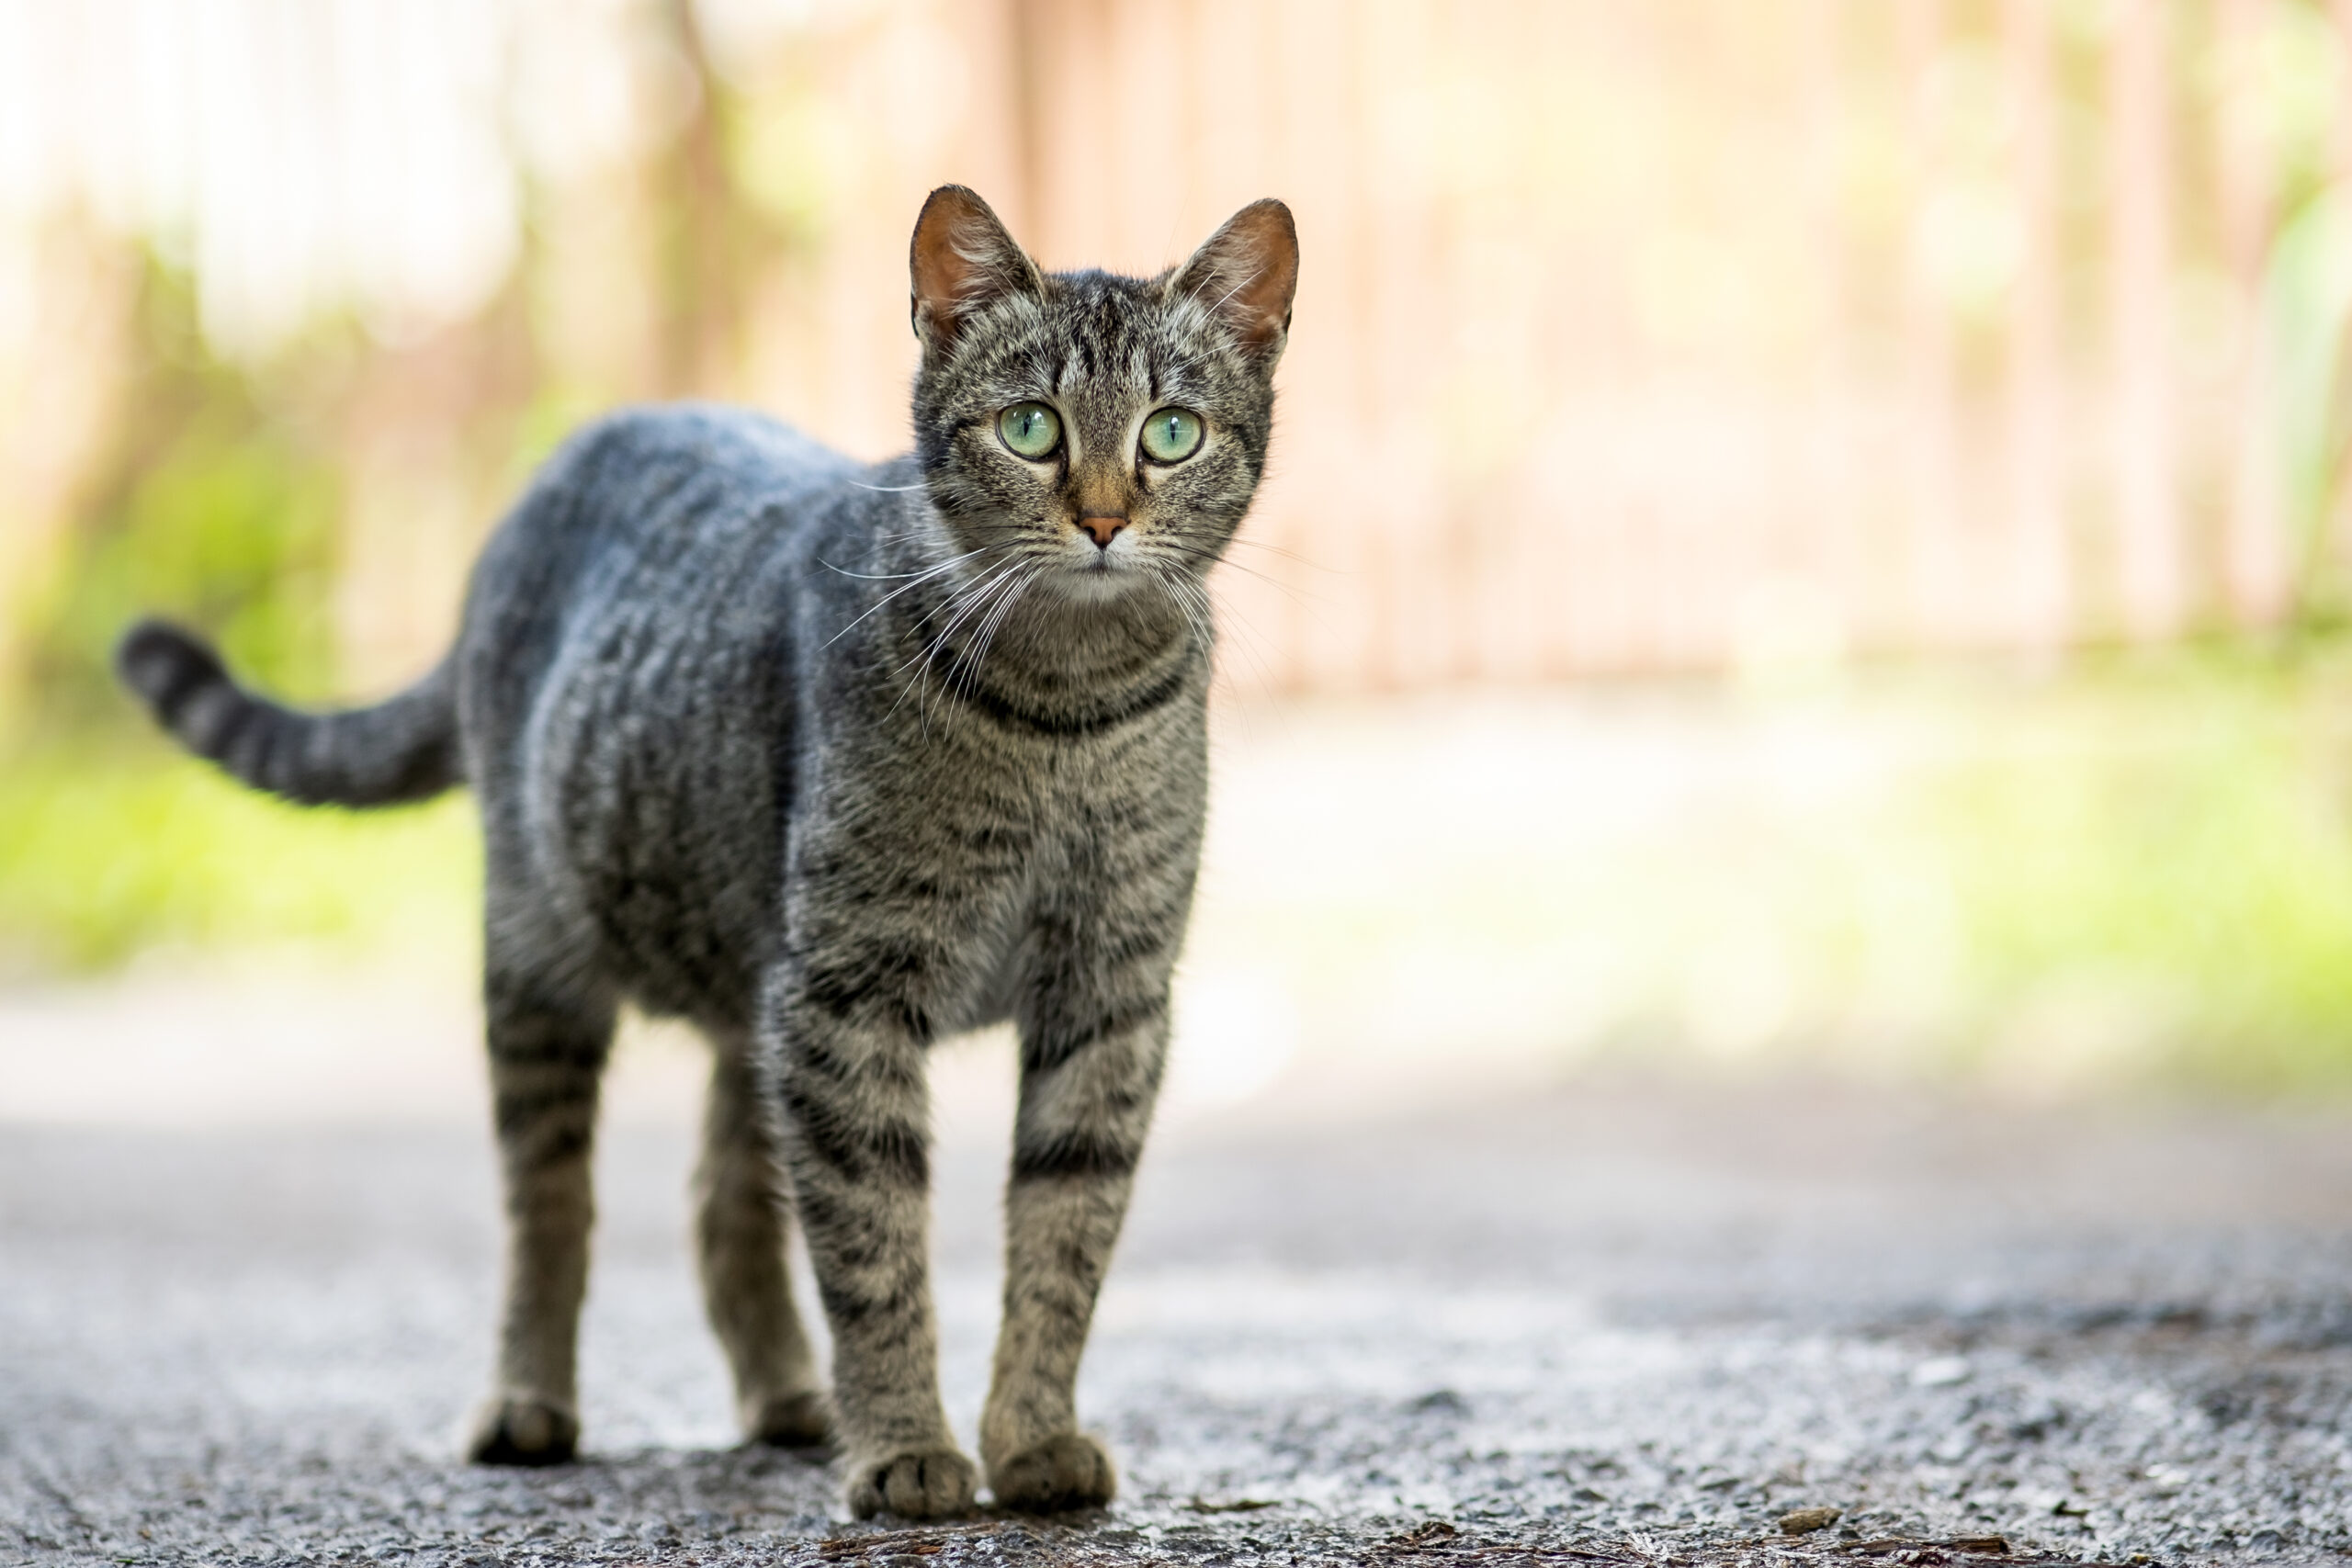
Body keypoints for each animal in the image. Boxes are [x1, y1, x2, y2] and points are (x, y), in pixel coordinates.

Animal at [114, 184, 1307, 1523]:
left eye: (1170, 433)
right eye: (1030, 427)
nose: (1102, 519)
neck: (1065, 712)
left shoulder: (1104, 997)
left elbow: (1064, 1235)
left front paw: (1030, 1434)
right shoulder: (850, 992)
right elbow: (875, 1246)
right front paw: (905, 1443)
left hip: (758, 994)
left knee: (722, 1202)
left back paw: (790, 1395)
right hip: (548, 964)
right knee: (550, 1208)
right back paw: (529, 1398)